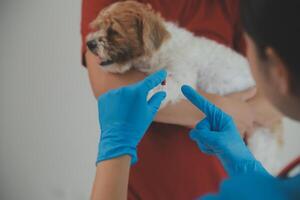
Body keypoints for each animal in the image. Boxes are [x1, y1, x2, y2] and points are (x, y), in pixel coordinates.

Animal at [87, 0, 284, 173]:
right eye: (98, 26)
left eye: (113, 31)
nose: (89, 43)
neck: (160, 50)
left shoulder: (181, 76)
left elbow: (164, 85)